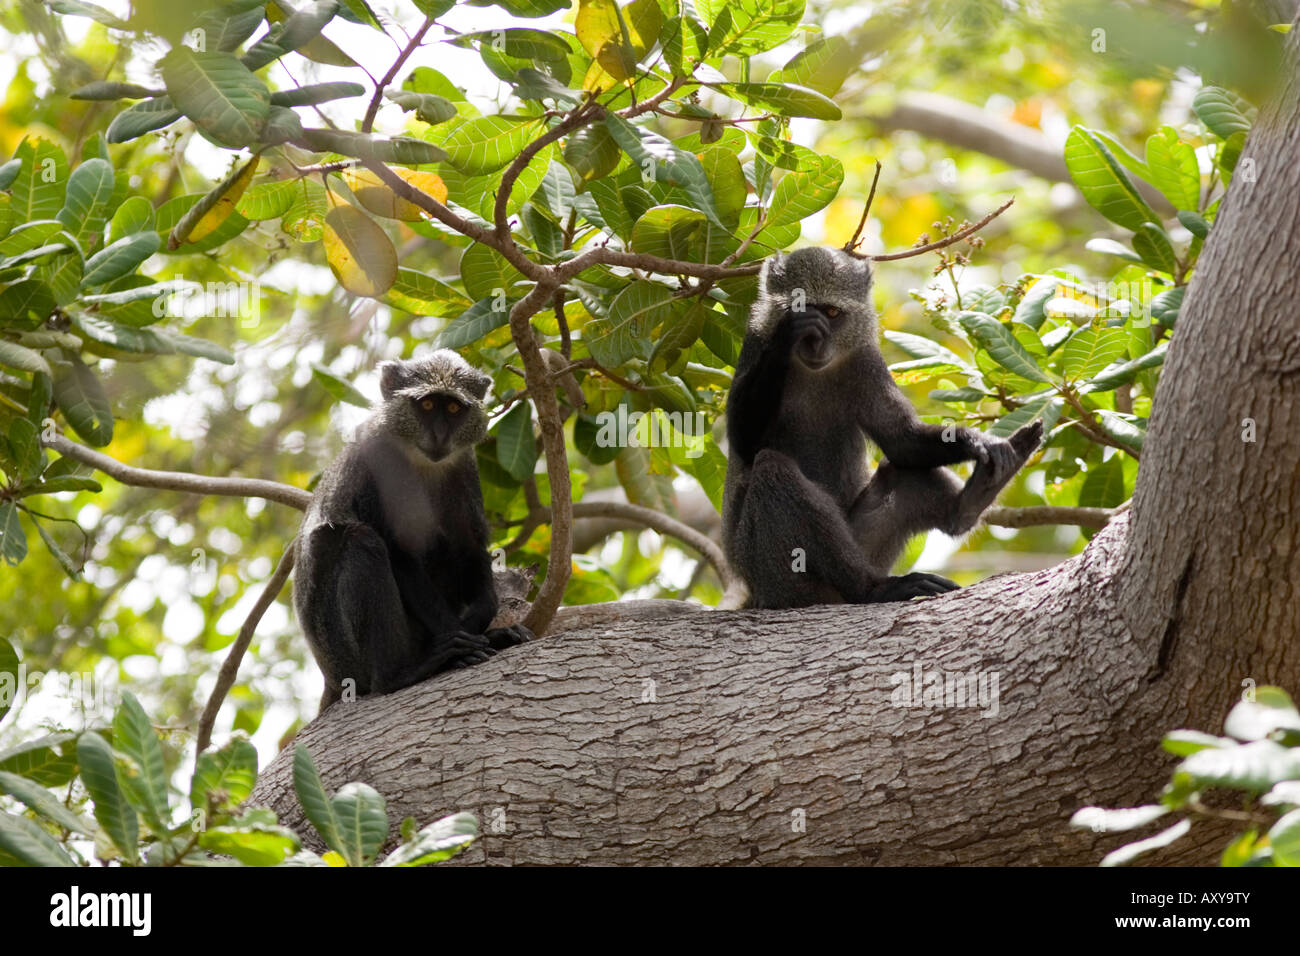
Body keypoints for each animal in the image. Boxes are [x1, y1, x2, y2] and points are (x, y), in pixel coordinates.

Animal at [293, 350, 532, 710]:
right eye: (428, 405)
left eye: (453, 408)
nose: (440, 436)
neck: (419, 459)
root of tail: (330, 679)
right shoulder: (374, 459)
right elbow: (397, 552)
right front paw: (461, 643)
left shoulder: (464, 466)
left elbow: (469, 546)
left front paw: (483, 627)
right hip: (342, 651)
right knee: (360, 542)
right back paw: (401, 673)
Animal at [721, 247, 1043, 609]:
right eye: (801, 309)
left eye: (832, 312)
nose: (815, 342)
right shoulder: (754, 341)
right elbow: (746, 445)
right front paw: (786, 337)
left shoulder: (867, 359)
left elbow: (901, 441)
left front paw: (977, 442)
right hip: (775, 577)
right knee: (771, 469)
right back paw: (872, 589)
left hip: (866, 547)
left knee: (901, 475)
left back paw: (969, 504)